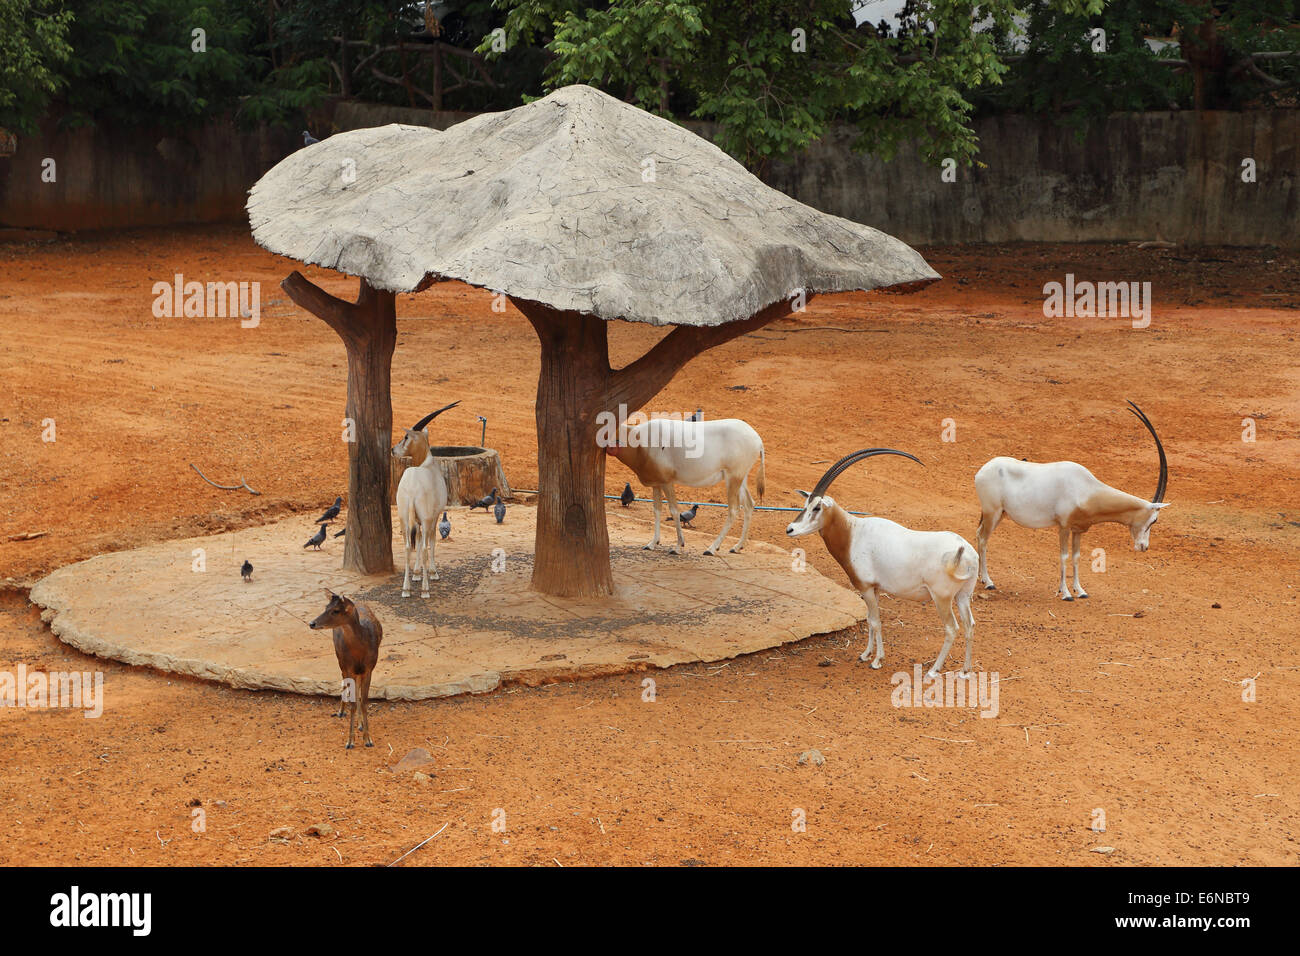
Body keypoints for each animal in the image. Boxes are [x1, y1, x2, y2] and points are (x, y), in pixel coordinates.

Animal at [309, 591, 383, 749]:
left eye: (336, 610)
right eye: (326, 607)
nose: (312, 623)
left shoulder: (369, 668)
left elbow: (364, 701)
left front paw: (368, 739)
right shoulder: (349, 667)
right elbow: (353, 703)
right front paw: (350, 741)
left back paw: (360, 724)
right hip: (340, 659)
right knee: (343, 678)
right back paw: (341, 711)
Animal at [392, 401, 459, 598]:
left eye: (406, 437)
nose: (393, 450)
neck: (427, 463)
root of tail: (413, 487)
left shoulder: (417, 520)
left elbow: (419, 538)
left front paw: (415, 574)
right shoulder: (433, 517)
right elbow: (430, 541)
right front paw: (432, 573)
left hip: (403, 516)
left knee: (407, 546)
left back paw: (406, 589)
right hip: (427, 517)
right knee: (424, 546)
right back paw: (425, 590)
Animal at [606, 417, 765, 555]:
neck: (639, 441)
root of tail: (757, 440)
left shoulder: (667, 482)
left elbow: (674, 511)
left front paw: (677, 546)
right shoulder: (657, 484)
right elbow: (657, 511)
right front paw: (652, 544)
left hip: (733, 477)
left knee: (733, 510)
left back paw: (712, 548)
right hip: (740, 478)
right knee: (749, 504)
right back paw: (737, 547)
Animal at [786, 449, 978, 678]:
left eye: (817, 507)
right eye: (804, 505)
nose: (790, 529)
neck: (853, 532)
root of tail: (967, 554)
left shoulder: (866, 587)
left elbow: (876, 622)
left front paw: (877, 660)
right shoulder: (874, 588)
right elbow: (870, 620)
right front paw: (865, 654)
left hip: (941, 598)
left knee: (952, 628)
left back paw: (933, 670)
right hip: (962, 596)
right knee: (969, 625)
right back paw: (965, 670)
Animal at [974, 400, 1169, 600]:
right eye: (1154, 520)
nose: (1144, 546)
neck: (1087, 489)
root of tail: (983, 470)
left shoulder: (1077, 530)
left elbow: (1076, 557)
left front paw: (1080, 591)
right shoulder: (1064, 526)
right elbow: (1064, 556)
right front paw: (1066, 593)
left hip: (1000, 514)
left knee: (979, 534)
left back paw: (981, 578)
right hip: (992, 512)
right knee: (982, 538)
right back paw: (988, 582)